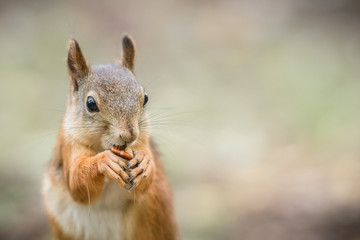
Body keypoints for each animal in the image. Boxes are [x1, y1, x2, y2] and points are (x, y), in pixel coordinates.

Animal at [42, 35, 179, 240]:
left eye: (145, 98)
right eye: (90, 103)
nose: (129, 134)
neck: (104, 146)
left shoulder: (142, 142)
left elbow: (144, 185)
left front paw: (145, 162)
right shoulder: (69, 145)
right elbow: (77, 184)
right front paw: (104, 161)